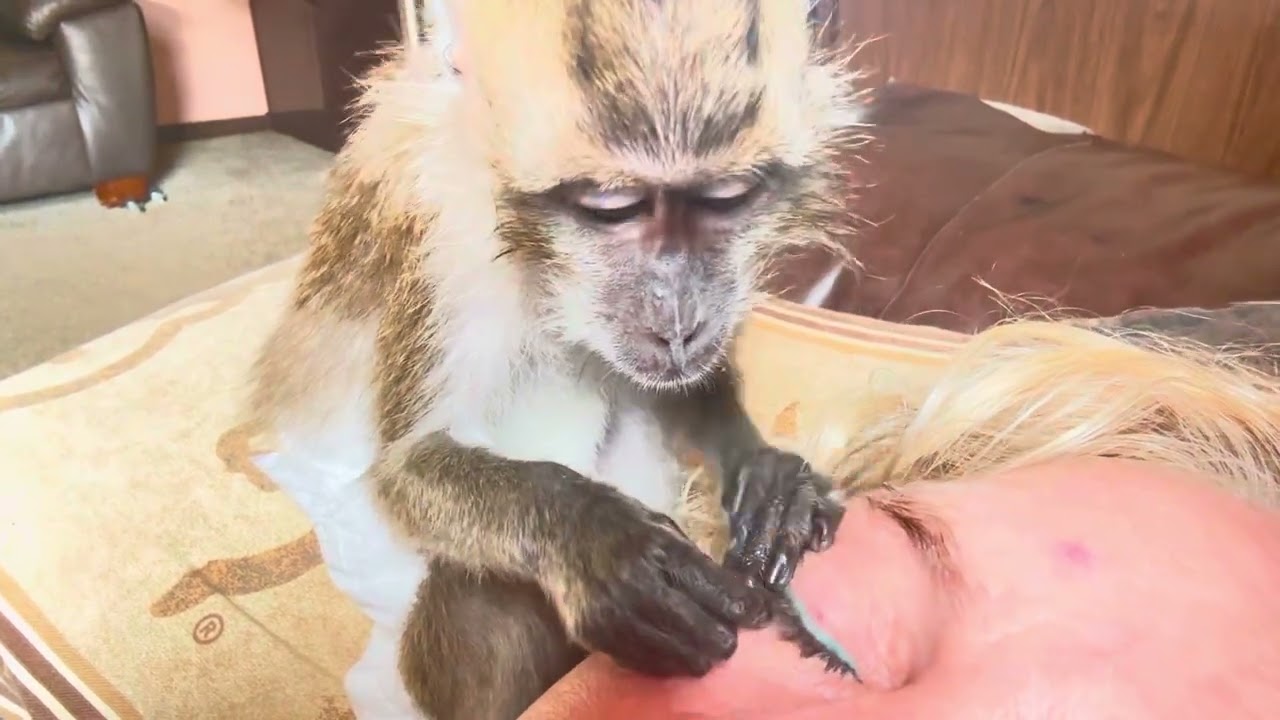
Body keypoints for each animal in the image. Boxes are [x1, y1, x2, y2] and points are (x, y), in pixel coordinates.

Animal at [246, 0, 868, 718]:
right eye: (612, 207)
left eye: (726, 198)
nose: (677, 321)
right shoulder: (444, 237)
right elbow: (405, 466)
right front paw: (601, 543)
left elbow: (682, 388)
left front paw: (763, 473)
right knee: (478, 594)